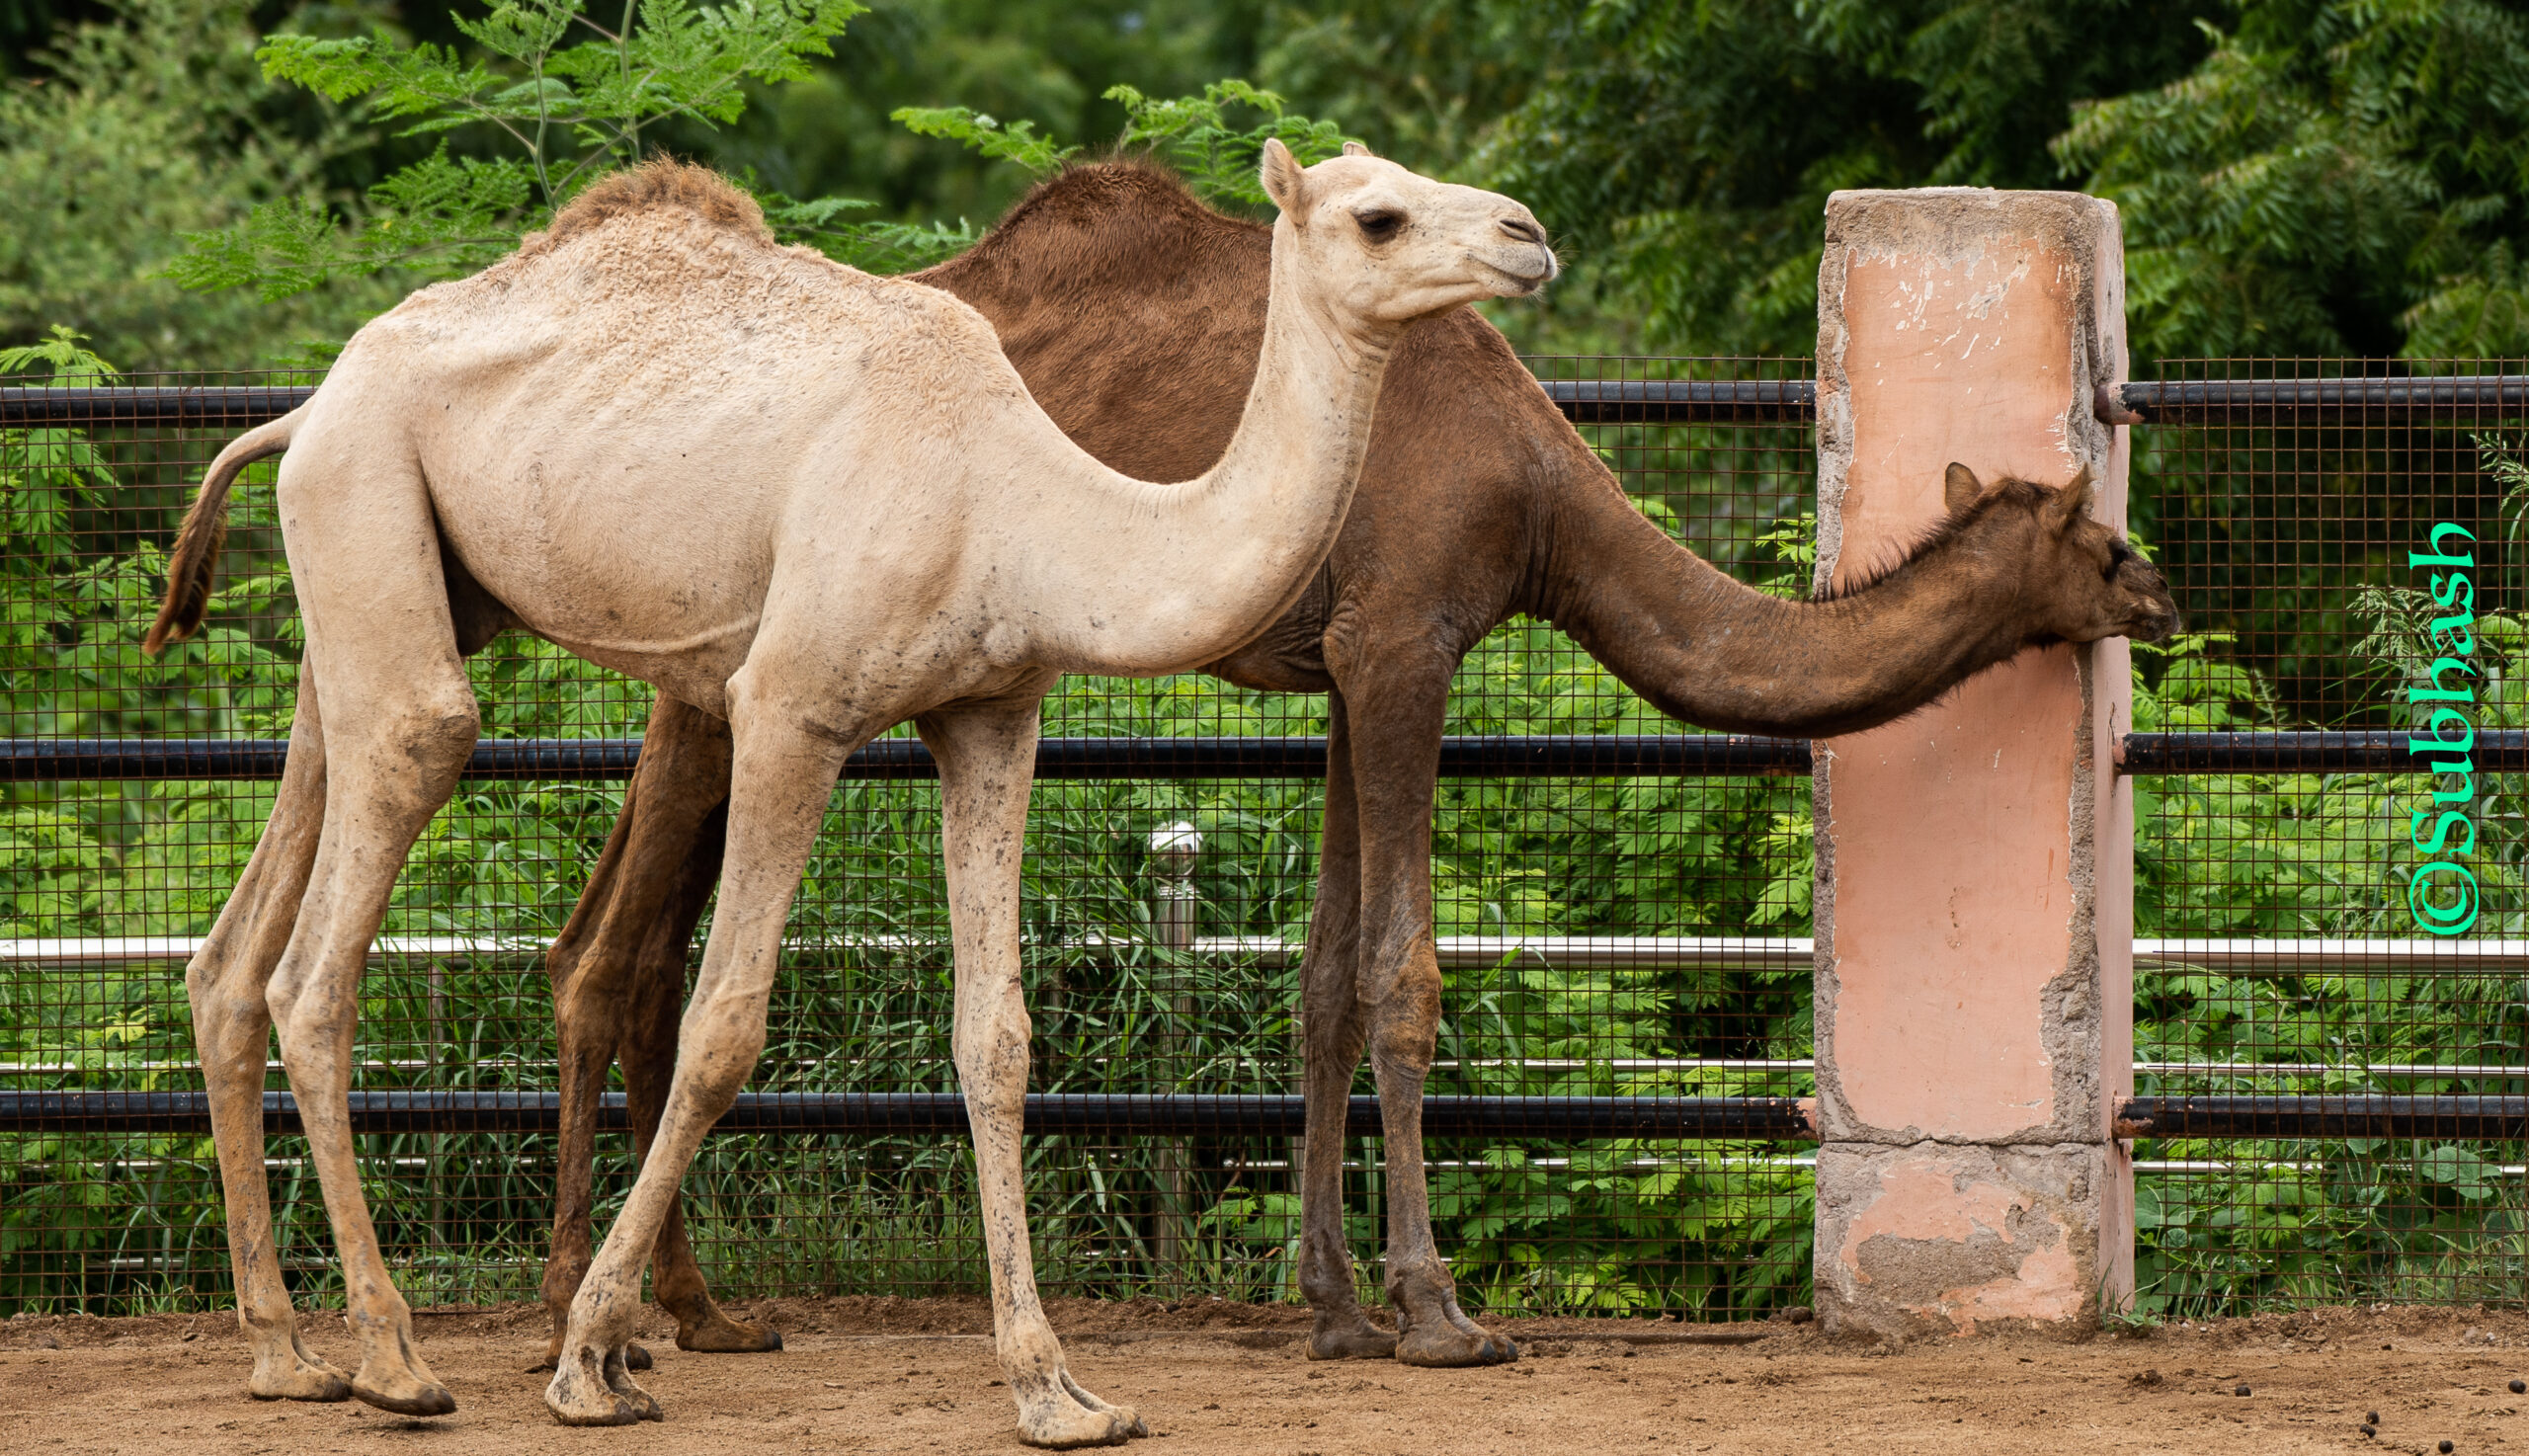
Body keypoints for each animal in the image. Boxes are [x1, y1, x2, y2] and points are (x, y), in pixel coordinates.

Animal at [147, 147, 1547, 1445]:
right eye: (1380, 215)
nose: (1526, 235)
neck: (1022, 508)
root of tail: (303, 407)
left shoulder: (994, 714)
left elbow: (996, 1038)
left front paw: (1055, 1389)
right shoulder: (788, 705)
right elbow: (724, 1027)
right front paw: (591, 1360)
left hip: (374, 583)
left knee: (238, 944)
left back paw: (285, 1354)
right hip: (371, 503)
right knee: (339, 918)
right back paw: (394, 1361)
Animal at [529, 164, 2174, 1375]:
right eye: (2100, 542)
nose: (2159, 600)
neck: (1541, 502)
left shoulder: (1338, 668)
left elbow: (1320, 980)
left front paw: (1328, 1303)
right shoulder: (1407, 640)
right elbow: (1402, 977)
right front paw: (1437, 1311)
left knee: (638, 942)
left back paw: (699, 1310)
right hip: (734, 650)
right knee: (612, 953)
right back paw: (576, 1320)